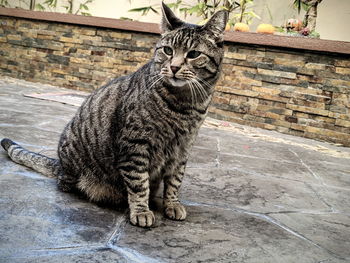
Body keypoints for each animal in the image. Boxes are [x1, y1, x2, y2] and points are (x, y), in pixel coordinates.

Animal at [0, 2, 230, 228]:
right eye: (167, 50)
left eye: (193, 54)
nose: (173, 67)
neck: (184, 104)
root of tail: (60, 164)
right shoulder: (134, 145)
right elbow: (138, 183)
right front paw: (141, 211)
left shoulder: (182, 148)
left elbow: (175, 181)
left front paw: (172, 204)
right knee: (66, 184)